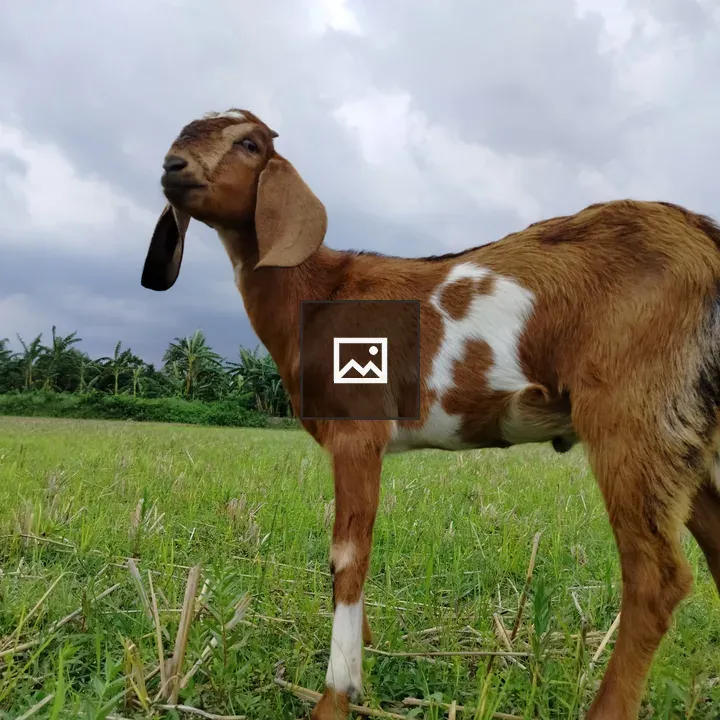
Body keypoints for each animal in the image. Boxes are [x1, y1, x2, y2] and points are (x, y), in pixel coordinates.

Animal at [141, 108, 720, 720]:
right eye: (181, 134)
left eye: (249, 144)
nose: (173, 167)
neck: (320, 291)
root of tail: (702, 235)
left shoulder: (357, 432)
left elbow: (347, 557)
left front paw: (337, 695)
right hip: (691, 433)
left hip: (635, 414)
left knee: (656, 575)